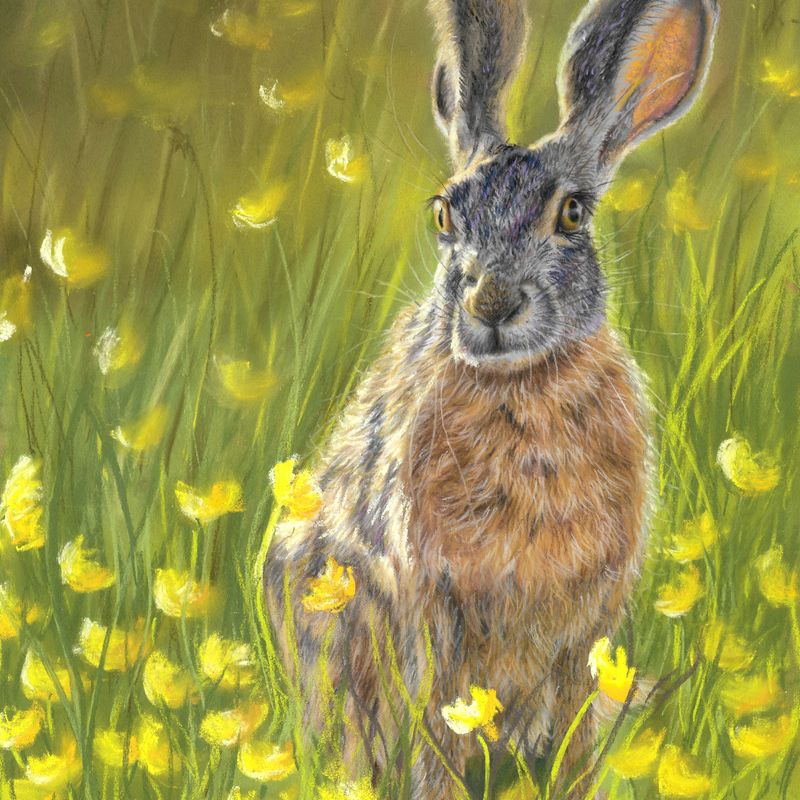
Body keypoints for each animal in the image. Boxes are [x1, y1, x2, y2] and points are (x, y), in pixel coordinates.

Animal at [264, 0, 718, 796]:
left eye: (572, 216)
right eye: (444, 215)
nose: (493, 303)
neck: (521, 386)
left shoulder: (587, 630)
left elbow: (572, 735)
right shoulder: (427, 614)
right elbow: (436, 727)